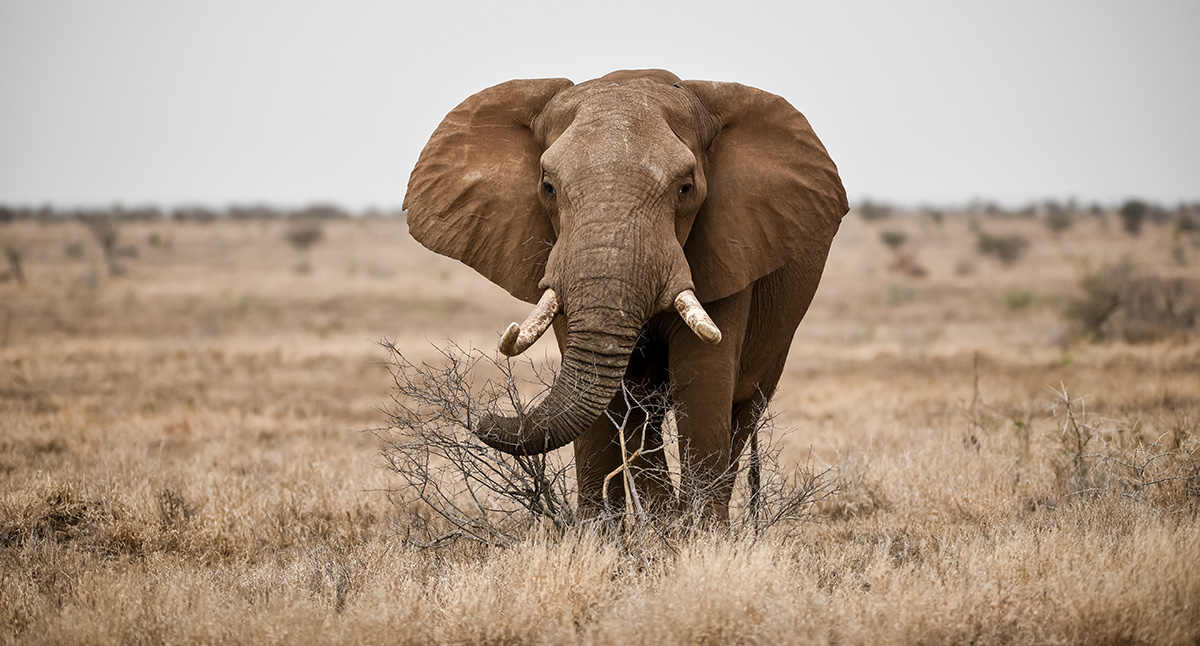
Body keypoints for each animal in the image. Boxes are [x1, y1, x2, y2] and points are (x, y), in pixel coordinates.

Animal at [403, 69, 847, 521]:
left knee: (743, 412)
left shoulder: (729, 251)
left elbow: (703, 381)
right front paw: (605, 535)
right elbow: (611, 401)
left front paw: (698, 536)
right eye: (548, 187)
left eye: (686, 188)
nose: (480, 417)